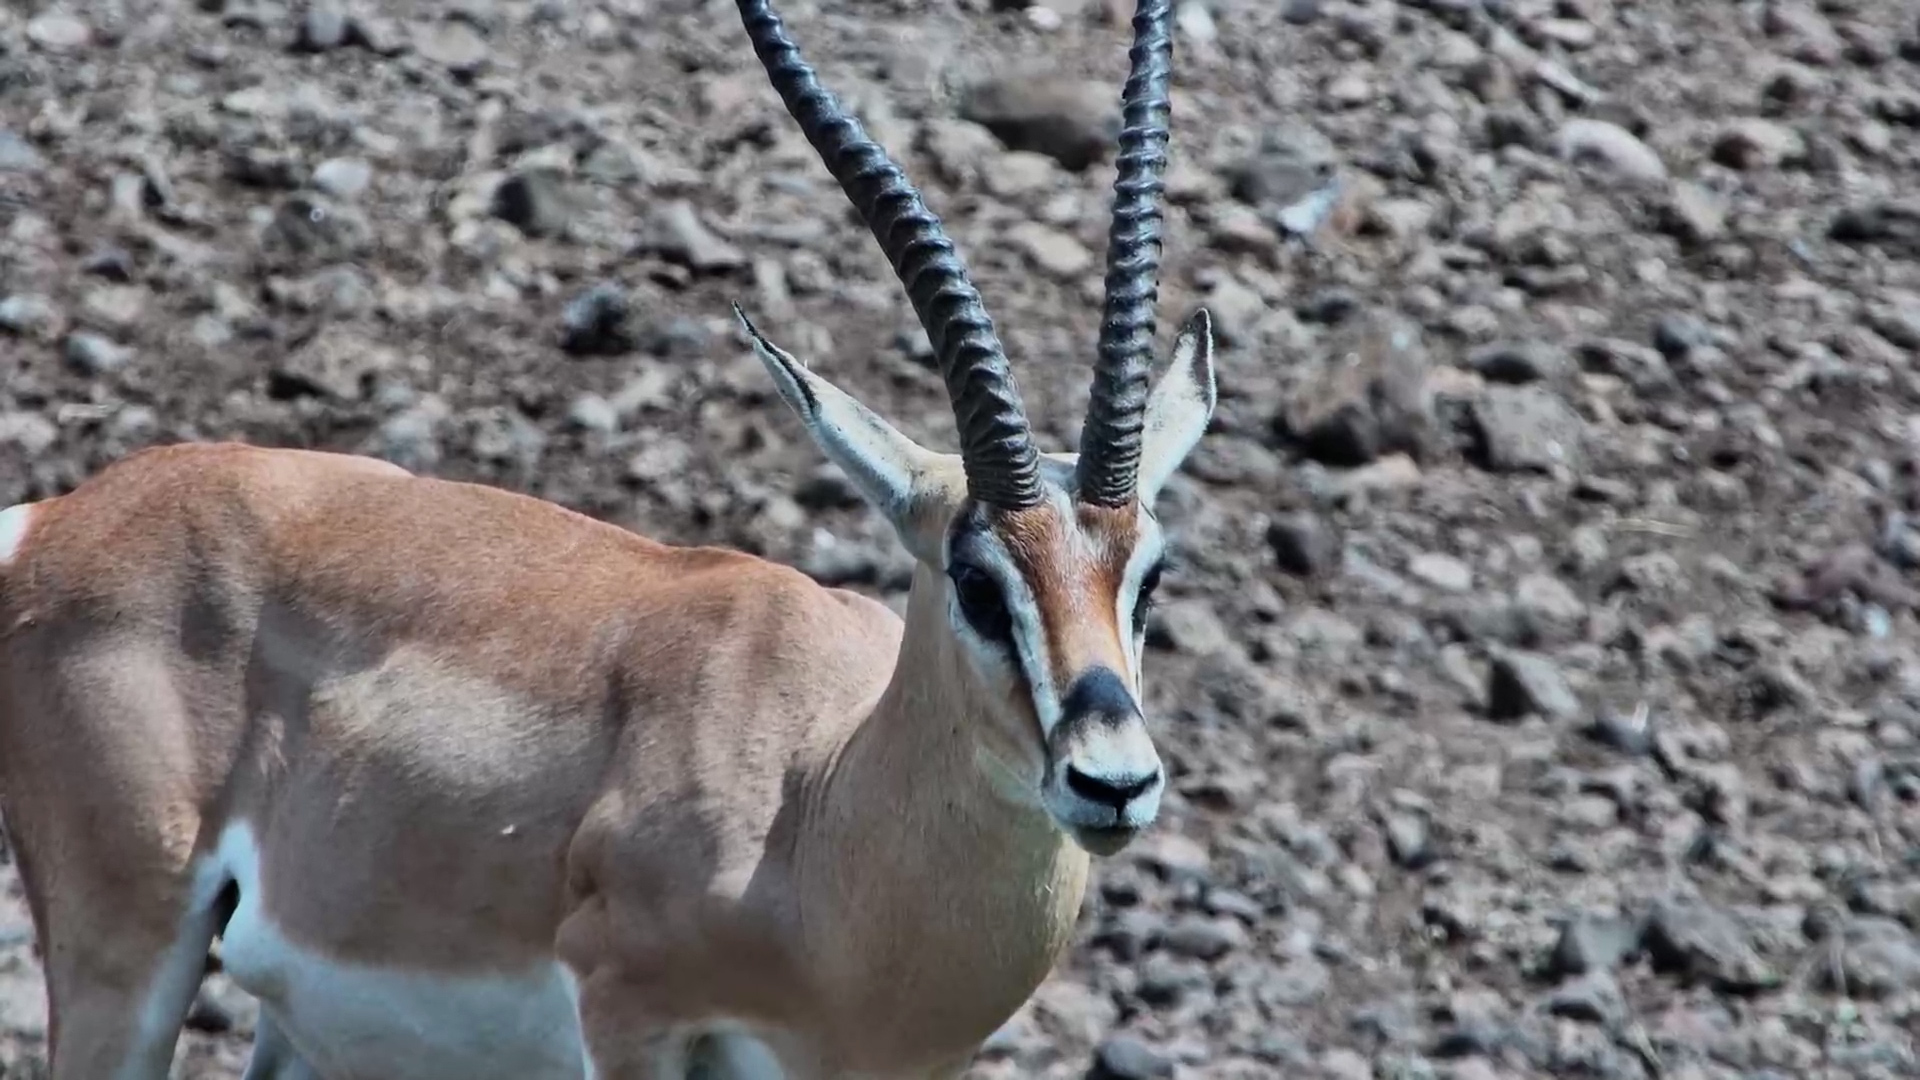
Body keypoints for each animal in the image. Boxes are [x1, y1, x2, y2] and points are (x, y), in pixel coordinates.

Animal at [0, 0, 1223, 1076]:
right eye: (975, 580)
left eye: (1150, 575)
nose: (1112, 781)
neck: (820, 806)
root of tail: (58, 520)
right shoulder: (631, 1019)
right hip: (125, 958)